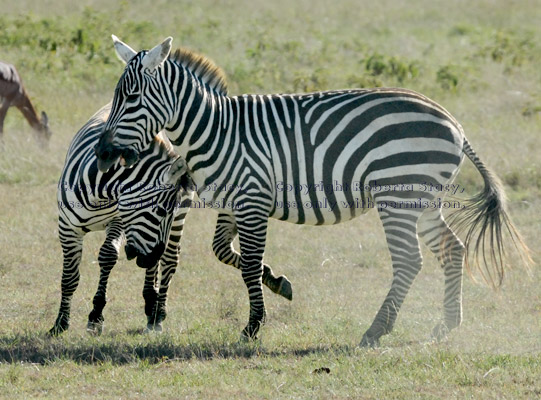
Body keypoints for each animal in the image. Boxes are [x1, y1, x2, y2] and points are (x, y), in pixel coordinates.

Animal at [51, 102, 292, 334]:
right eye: (161, 209)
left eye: (168, 210)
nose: (152, 254)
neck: (99, 193)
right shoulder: (66, 227)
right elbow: (69, 277)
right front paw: (61, 323)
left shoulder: (120, 220)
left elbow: (108, 255)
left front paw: (95, 316)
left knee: (168, 261)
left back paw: (156, 312)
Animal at [96, 36, 528, 346]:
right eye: (116, 97)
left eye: (131, 98)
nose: (102, 155)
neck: (216, 130)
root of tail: (453, 121)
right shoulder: (235, 203)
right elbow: (224, 251)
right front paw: (276, 282)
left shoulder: (252, 199)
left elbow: (248, 262)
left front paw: (253, 326)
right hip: (425, 199)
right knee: (452, 248)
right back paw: (446, 324)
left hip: (398, 195)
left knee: (409, 260)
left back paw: (376, 330)